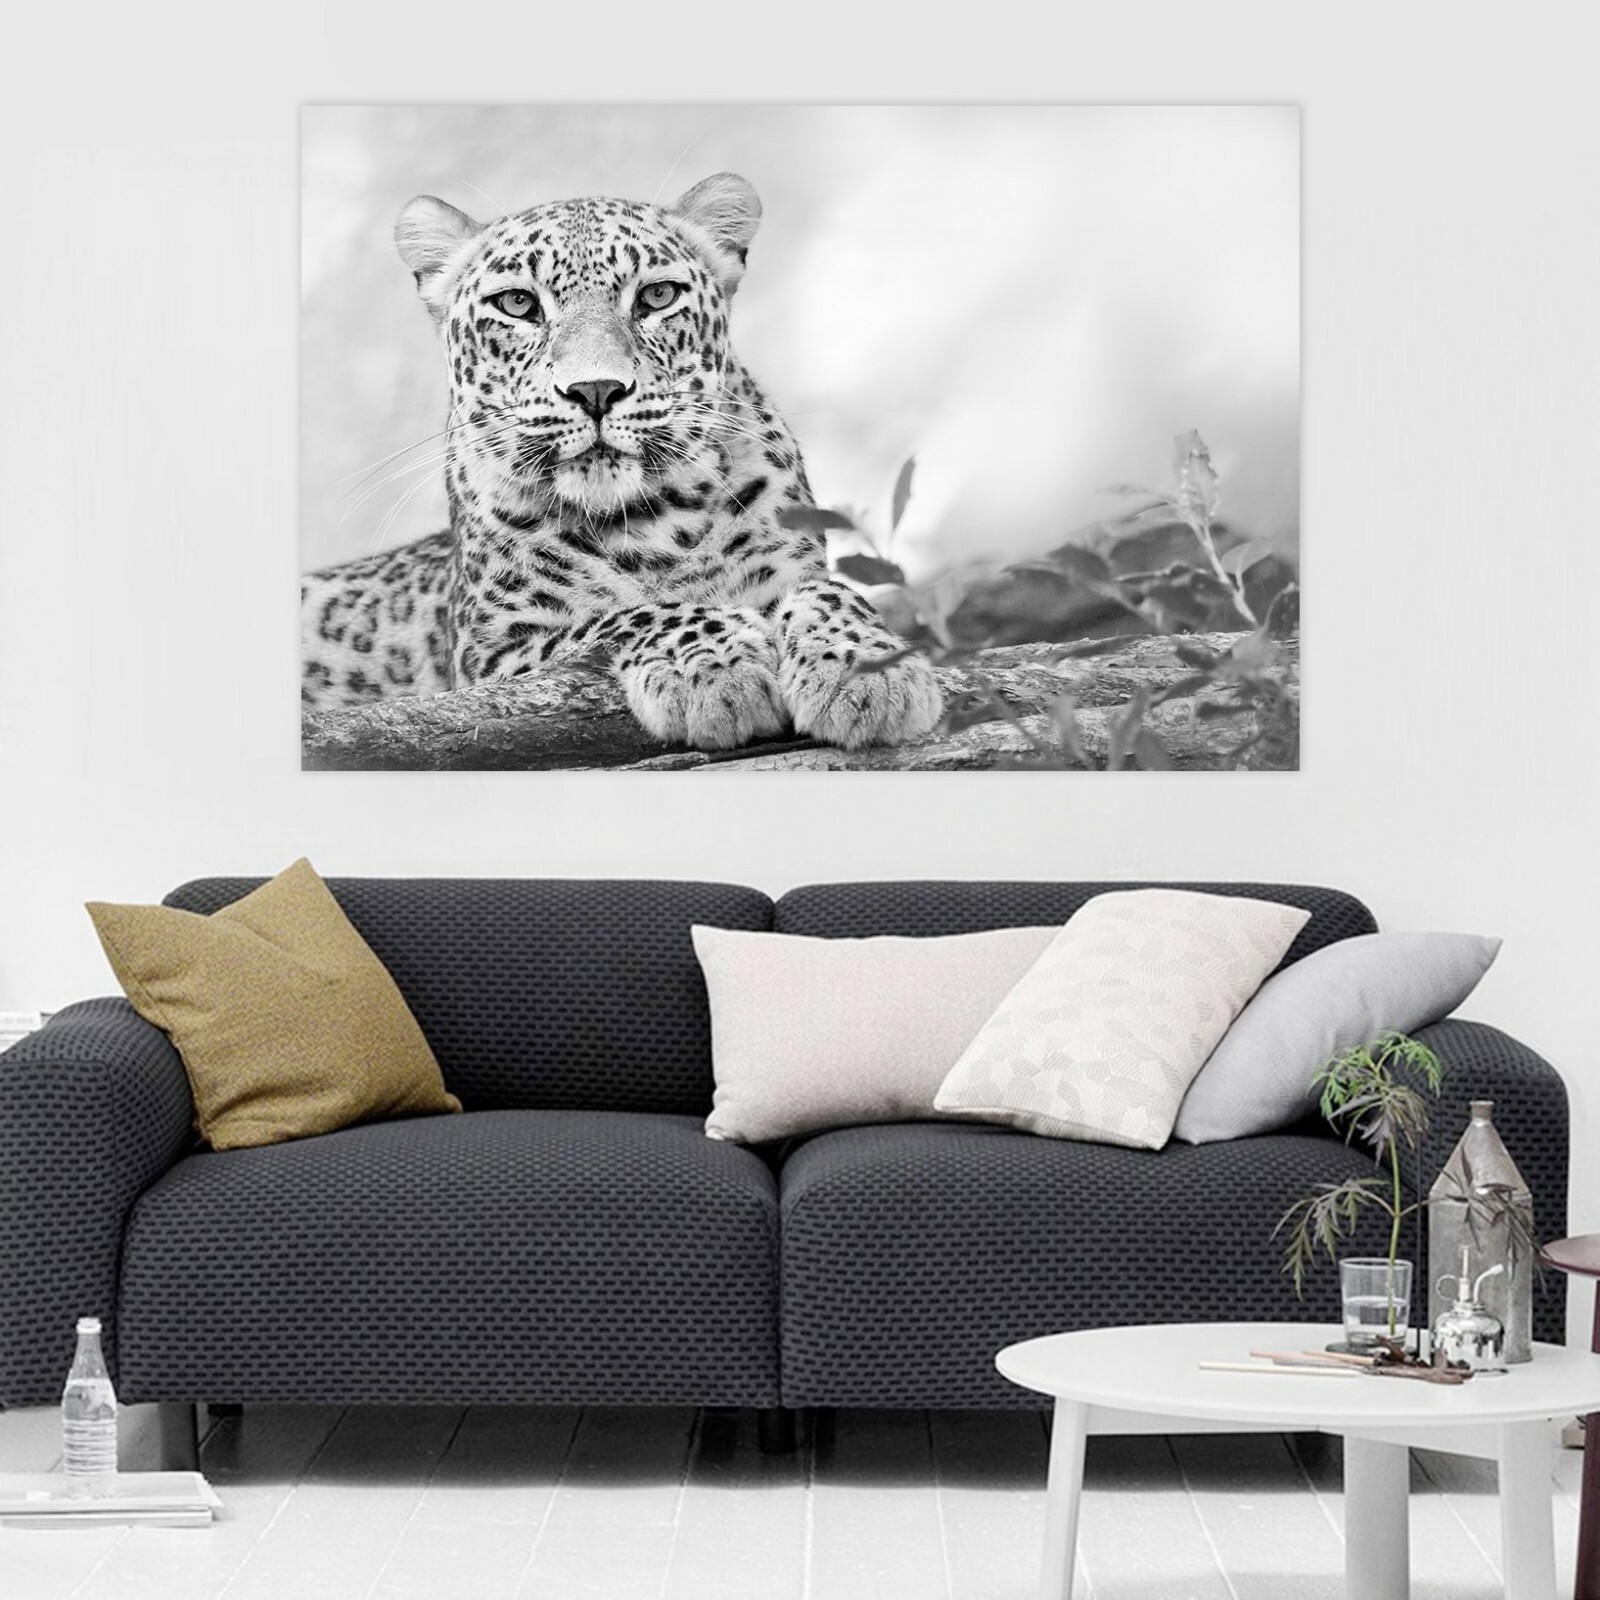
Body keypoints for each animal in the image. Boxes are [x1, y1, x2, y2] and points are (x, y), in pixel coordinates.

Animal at [300, 172, 942, 752]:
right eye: (517, 304)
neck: (653, 522)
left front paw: (867, 671)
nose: (596, 390)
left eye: (657, 297)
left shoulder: (792, 565)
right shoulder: (491, 658)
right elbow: (624, 618)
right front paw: (713, 670)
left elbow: (830, 592)